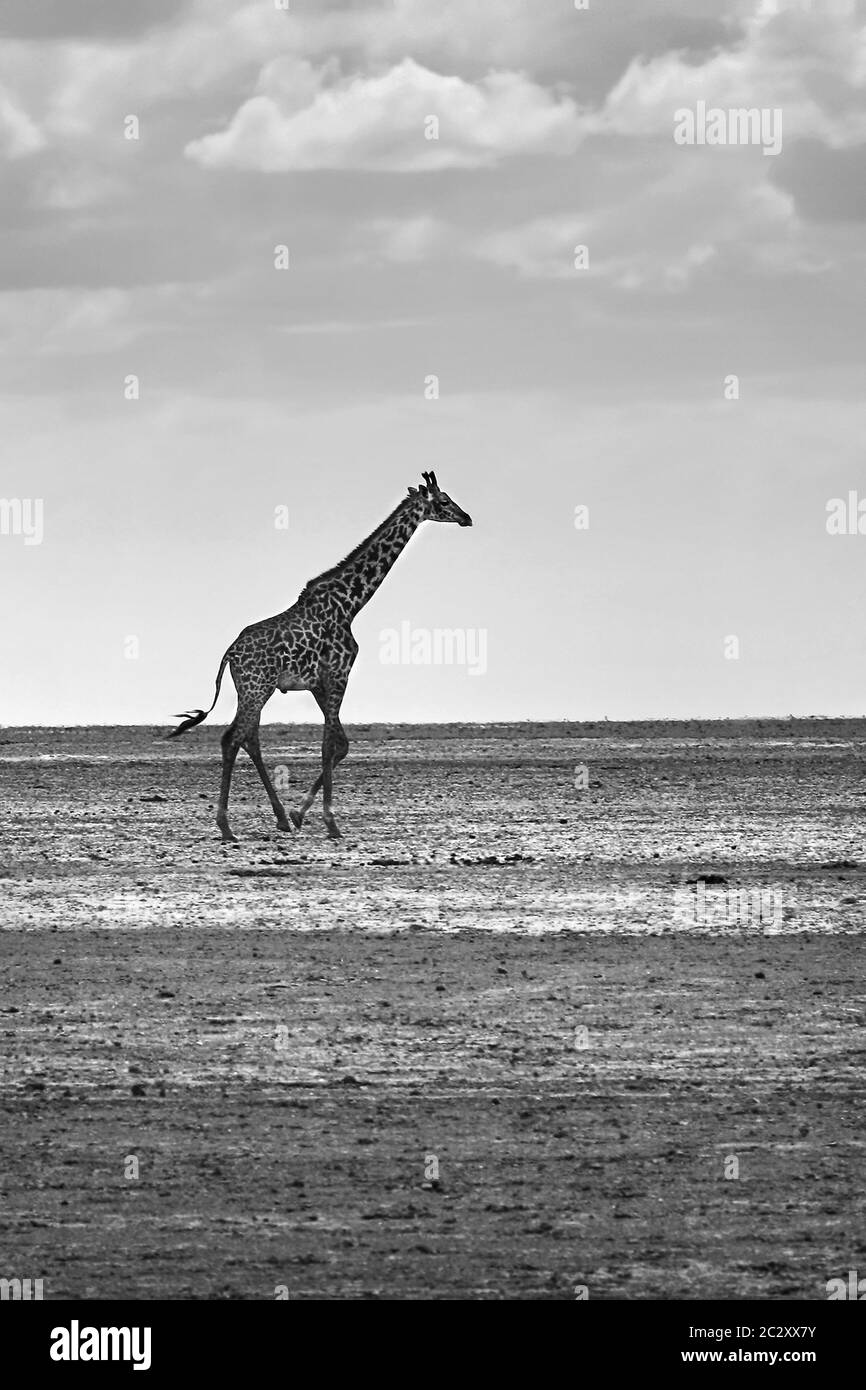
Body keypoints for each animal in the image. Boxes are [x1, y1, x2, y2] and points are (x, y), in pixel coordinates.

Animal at [168, 475, 475, 845]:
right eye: (444, 501)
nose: (467, 518)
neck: (351, 603)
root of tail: (229, 652)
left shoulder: (319, 684)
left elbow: (341, 744)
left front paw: (300, 815)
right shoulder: (339, 675)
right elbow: (329, 745)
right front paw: (330, 822)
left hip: (251, 691)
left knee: (249, 739)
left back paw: (279, 818)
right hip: (257, 688)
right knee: (232, 738)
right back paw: (227, 827)